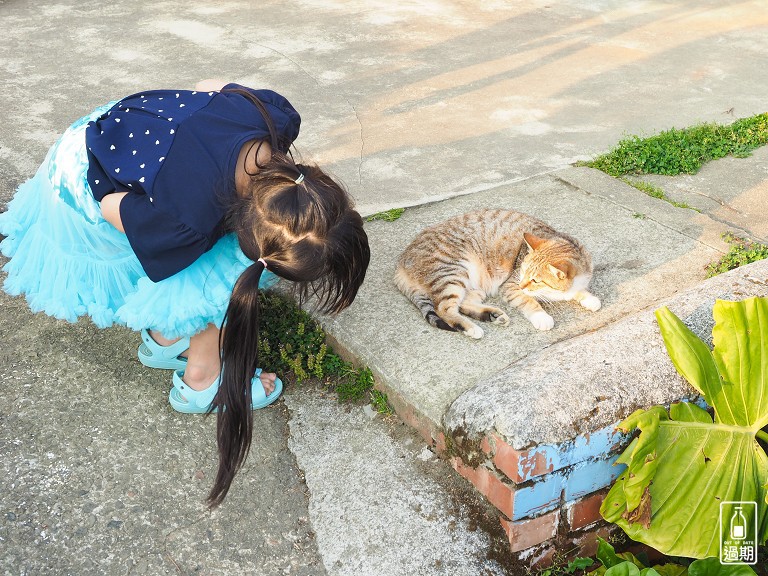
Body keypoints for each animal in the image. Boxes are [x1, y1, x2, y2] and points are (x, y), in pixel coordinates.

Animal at [396, 209, 600, 340]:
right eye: (522, 271)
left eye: (535, 280)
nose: (522, 285)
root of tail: (400, 262)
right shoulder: (510, 285)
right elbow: (528, 300)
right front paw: (541, 316)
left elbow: (579, 291)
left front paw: (589, 298)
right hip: (452, 273)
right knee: (445, 309)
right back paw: (472, 329)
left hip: (473, 286)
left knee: (464, 304)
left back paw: (492, 315)